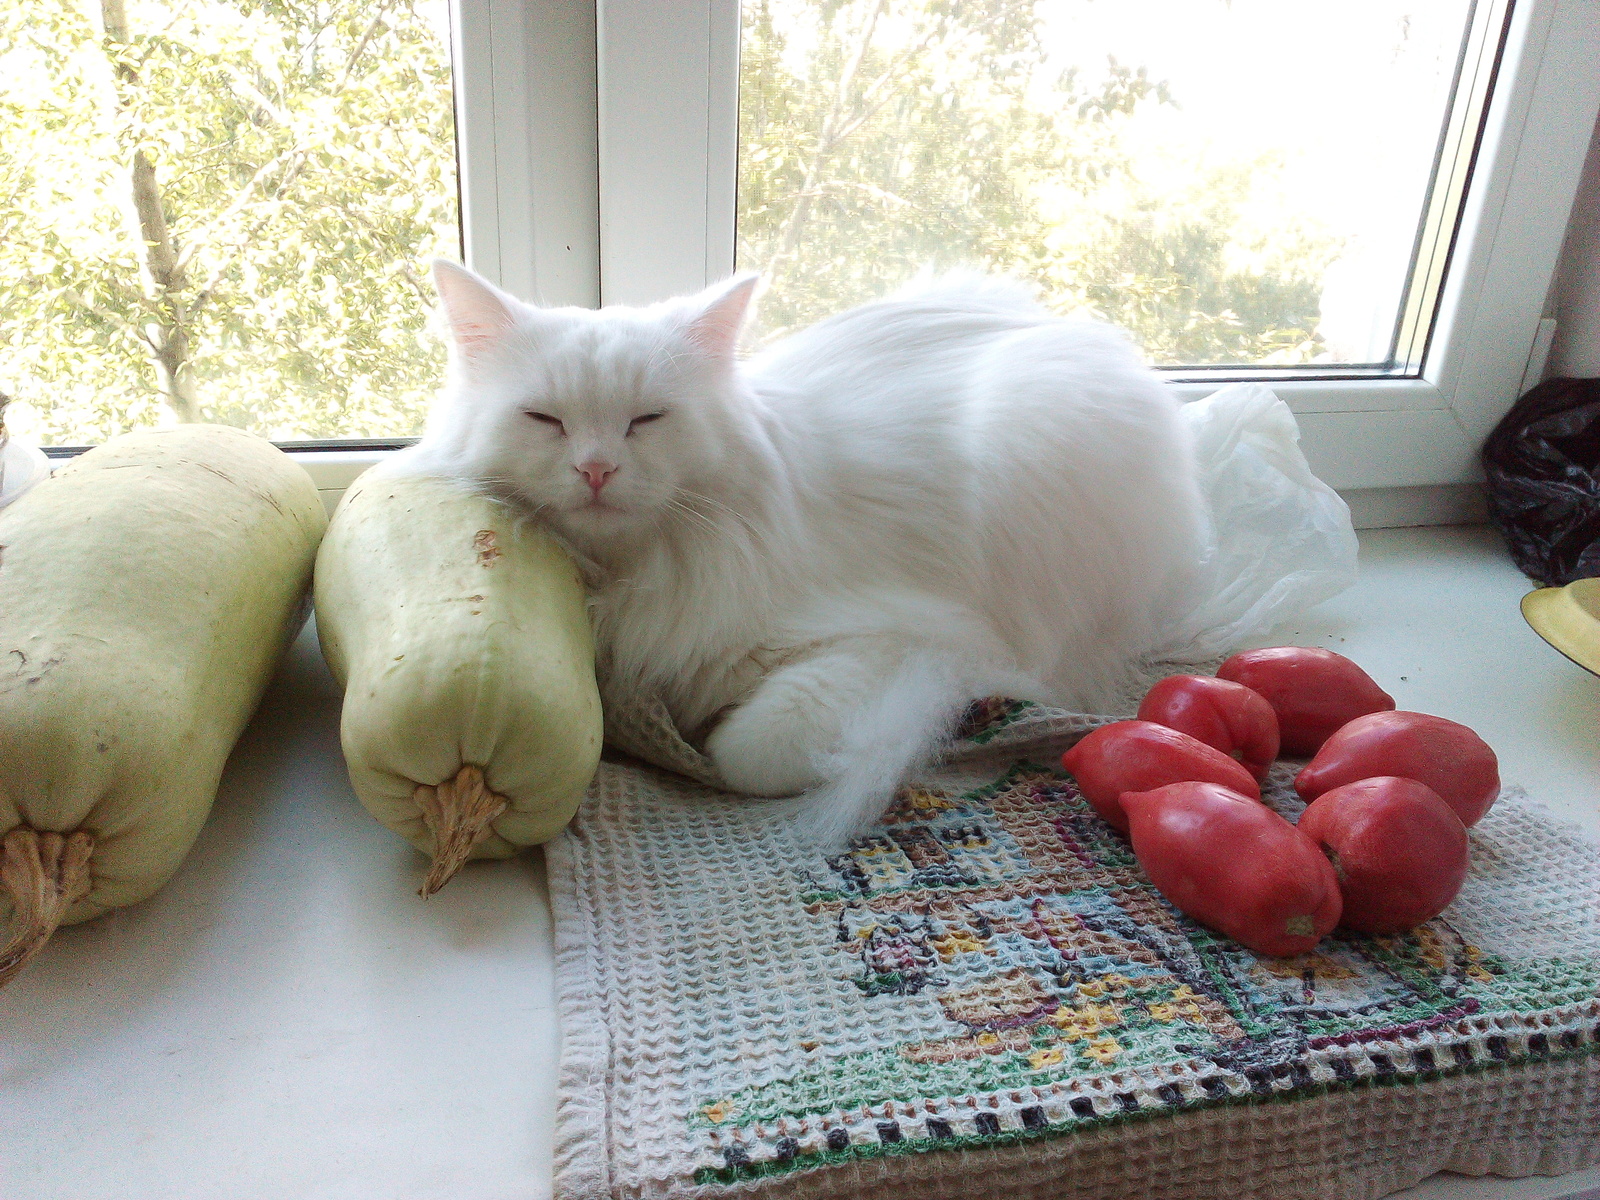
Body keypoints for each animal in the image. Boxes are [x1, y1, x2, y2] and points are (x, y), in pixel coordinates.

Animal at [412, 262, 1209, 844]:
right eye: (544, 419)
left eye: (647, 420)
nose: (597, 470)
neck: (636, 574)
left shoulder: (905, 642)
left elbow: (744, 751)